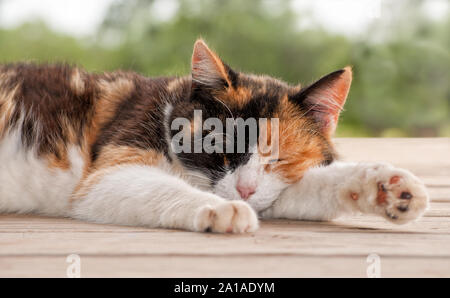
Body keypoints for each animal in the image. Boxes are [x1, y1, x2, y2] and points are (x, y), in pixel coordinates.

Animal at [0, 39, 428, 233]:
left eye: (280, 159)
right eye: (221, 146)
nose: (245, 191)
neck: (169, 108)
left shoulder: (277, 189)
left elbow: (305, 189)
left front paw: (385, 188)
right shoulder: (110, 167)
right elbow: (148, 186)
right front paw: (223, 209)